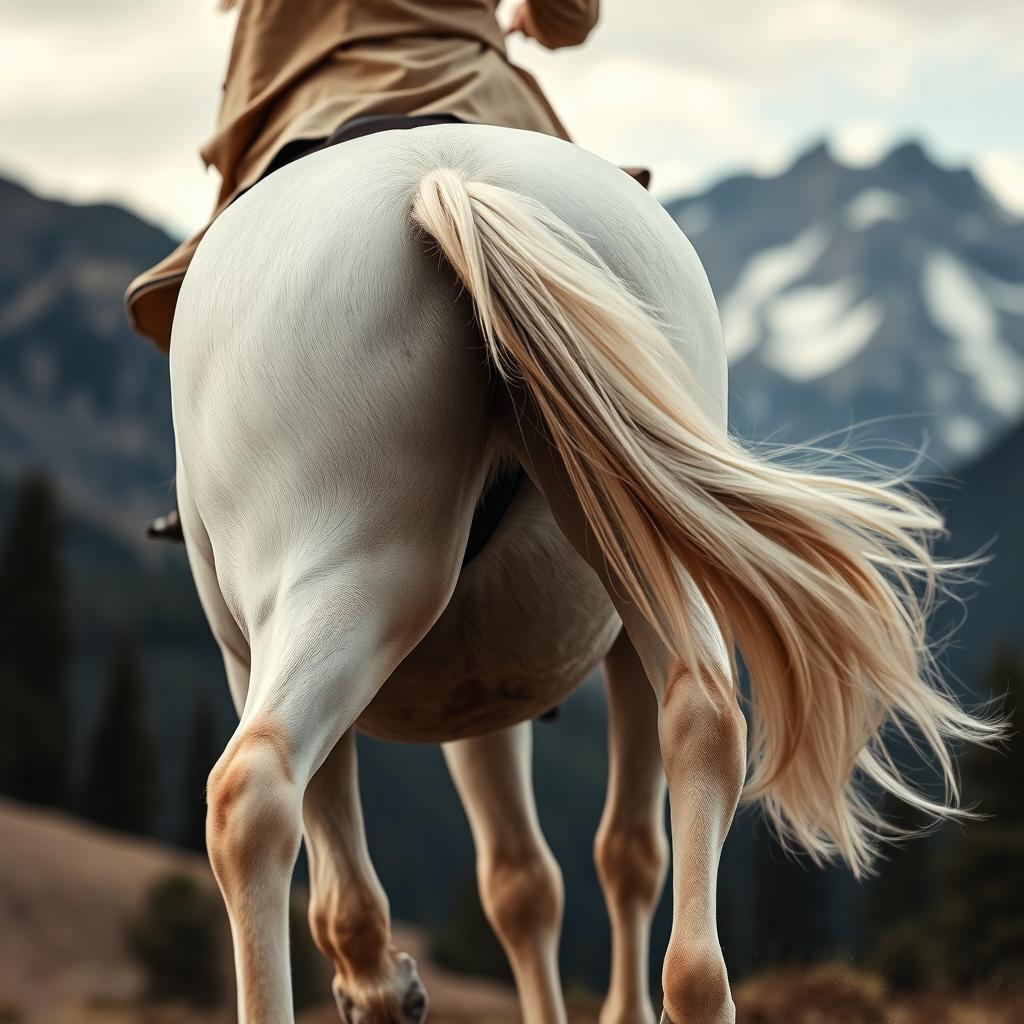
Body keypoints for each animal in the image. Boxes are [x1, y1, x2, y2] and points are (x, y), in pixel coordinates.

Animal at [172, 123, 995, 1019]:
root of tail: (441, 179)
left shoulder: (255, 654)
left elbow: (458, 884)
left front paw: (382, 986)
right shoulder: (490, 689)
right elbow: (537, 876)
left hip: (358, 569)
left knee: (256, 787)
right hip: (616, 531)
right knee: (703, 711)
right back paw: (696, 989)